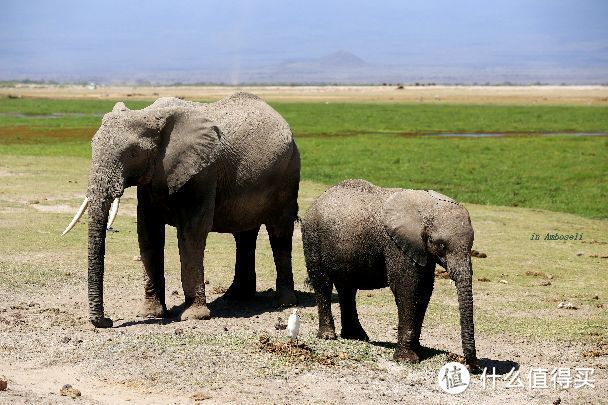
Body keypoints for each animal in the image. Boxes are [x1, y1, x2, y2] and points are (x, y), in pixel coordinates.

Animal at [64, 93, 302, 326]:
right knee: (244, 234)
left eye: (132, 153)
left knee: (279, 232)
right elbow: (148, 232)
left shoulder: (203, 172)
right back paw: (235, 297)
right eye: (92, 146)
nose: (108, 321)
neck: (150, 114)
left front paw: (194, 315)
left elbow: (192, 231)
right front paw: (151, 313)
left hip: (289, 173)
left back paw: (284, 302)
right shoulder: (154, 175)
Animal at [302, 178, 478, 368]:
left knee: (347, 288)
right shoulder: (396, 244)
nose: (472, 366)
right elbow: (408, 289)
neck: (425, 205)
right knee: (323, 283)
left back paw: (356, 336)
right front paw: (406, 359)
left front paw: (419, 350)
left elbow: (424, 291)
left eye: (471, 244)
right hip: (312, 236)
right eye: (440, 244)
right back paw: (328, 336)